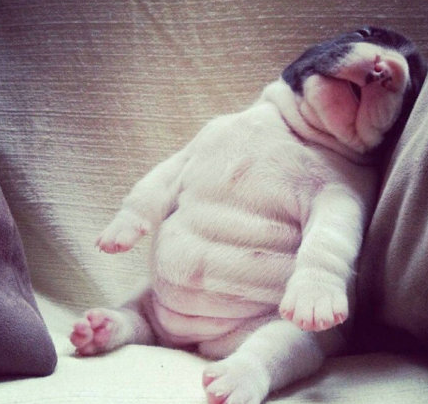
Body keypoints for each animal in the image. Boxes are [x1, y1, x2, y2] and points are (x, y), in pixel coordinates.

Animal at [71, 27, 426, 404]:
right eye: (363, 33)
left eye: (414, 83)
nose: (385, 67)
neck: (296, 132)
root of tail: (192, 342)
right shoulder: (192, 152)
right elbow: (151, 187)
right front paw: (119, 229)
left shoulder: (340, 195)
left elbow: (326, 243)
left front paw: (314, 293)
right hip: (148, 294)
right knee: (138, 319)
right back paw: (101, 328)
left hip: (290, 335)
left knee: (269, 349)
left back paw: (235, 377)